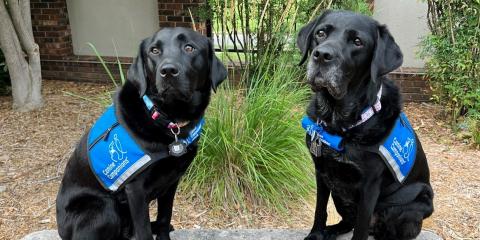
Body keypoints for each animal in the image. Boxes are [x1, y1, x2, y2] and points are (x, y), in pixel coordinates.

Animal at [55, 28, 228, 240]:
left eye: (189, 48)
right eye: (154, 51)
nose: (168, 71)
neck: (167, 119)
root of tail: (61, 230)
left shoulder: (171, 182)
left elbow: (165, 217)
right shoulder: (135, 190)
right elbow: (143, 230)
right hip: (103, 208)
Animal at [296, 9, 436, 240]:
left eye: (357, 42)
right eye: (321, 33)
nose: (322, 55)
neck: (339, 121)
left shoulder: (369, 186)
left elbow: (360, 228)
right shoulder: (321, 171)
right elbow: (320, 209)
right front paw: (316, 234)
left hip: (410, 205)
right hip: (339, 195)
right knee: (348, 222)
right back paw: (331, 231)